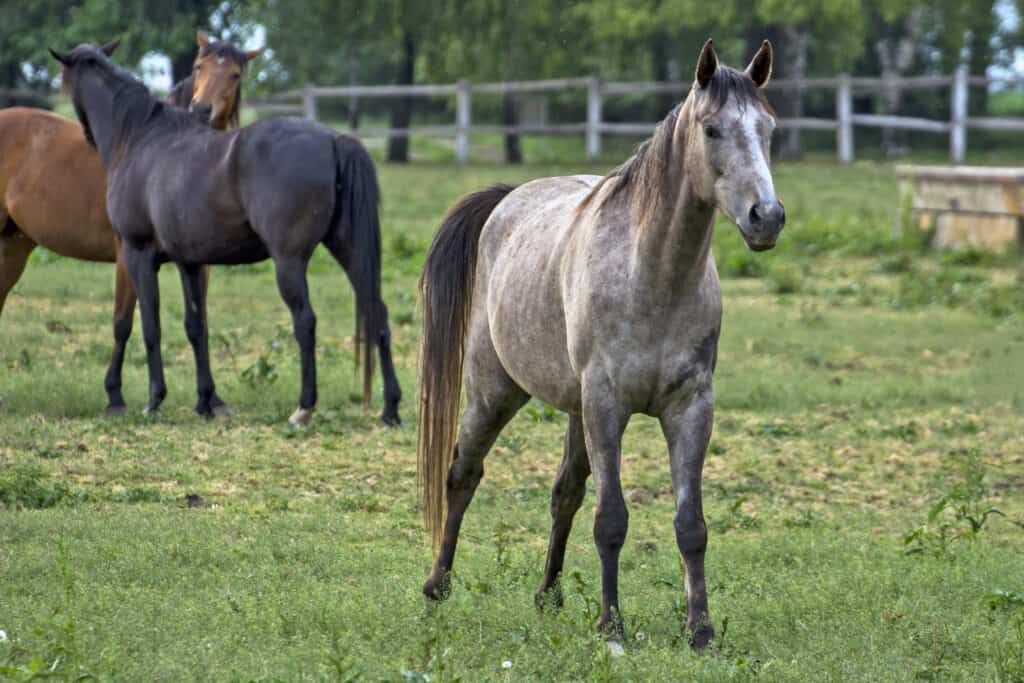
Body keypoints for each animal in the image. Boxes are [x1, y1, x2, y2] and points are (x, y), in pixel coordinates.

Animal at [0, 31, 260, 413]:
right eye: (199, 66)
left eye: (235, 75)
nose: (202, 110)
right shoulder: (128, 256)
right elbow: (124, 323)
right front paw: (116, 397)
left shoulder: (196, 263)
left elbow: (198, 323)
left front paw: (211, 400)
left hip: (13, 247)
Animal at [51, 40, 401, 423]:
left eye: (64, 82)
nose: (84, 136)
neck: (140, 138)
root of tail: (333, 140)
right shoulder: (189, 263)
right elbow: (196, 327)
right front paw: (205, 401)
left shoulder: (137, 254)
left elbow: (150, 325)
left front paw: (154, 399)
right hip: (349, 250)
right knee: (377, 313)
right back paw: (390, 408)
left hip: (290, 261)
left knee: (305, 321)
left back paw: (304, 408)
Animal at [415, 41, 782, 651]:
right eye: (711, 129)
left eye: (768, 128)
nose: (767, 217)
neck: (652, 275)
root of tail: (508, 201)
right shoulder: (607, 404)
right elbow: (611, 520)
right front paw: (612, 626)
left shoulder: (690, 407)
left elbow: (691, 525)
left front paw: (701, 631)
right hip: (496, 390)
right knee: (463, 474)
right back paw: (437, 586)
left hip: (574, 408)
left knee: (564, 493)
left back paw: (548, 595)